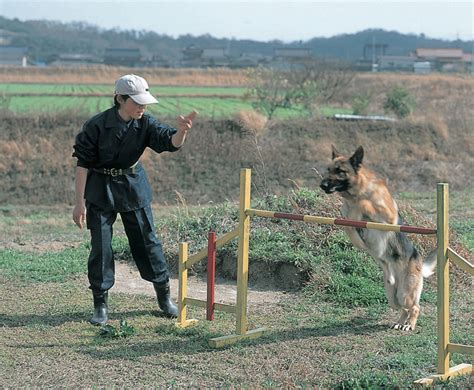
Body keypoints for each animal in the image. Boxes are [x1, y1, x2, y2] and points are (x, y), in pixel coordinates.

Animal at [320, 145, 436, 330]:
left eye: (340, 171)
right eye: (329, 169)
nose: (322, 185)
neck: (356, 193)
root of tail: (419, 261)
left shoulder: (389, 216)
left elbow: (364, 204)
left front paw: (360, 208)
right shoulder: (346, 217)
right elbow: (348, 221)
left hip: (405, 293)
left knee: (415, 307)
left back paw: (409, 325)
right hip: (392, 296)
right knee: (403, 308)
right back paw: (400, 322)